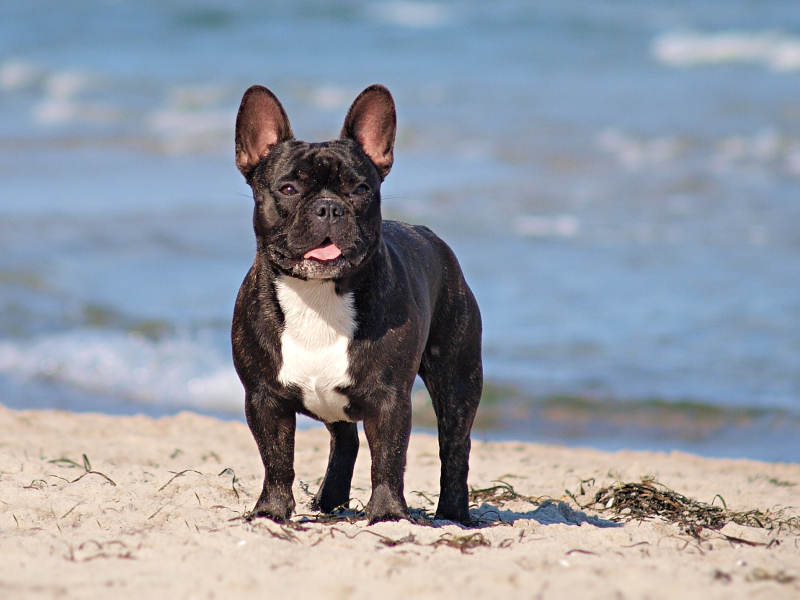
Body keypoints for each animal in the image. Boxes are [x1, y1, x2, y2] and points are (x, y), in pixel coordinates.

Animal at [231, 84, 482, 524]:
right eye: (288, 189)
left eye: (361, 189)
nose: (330, 207)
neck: (317, 296)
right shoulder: (263, 398)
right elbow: (276, 459)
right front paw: (271, 511)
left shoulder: (389, 399)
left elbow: (389, 458)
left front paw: (387, 514)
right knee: (344, 440)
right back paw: (331, 500)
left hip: (457, 378)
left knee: (454, 447)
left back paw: (452, 513)